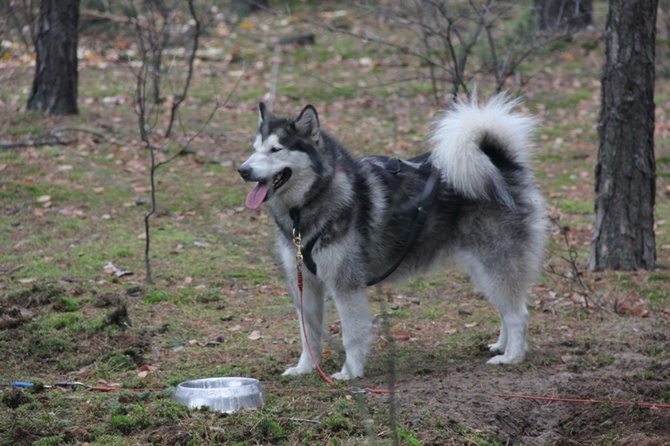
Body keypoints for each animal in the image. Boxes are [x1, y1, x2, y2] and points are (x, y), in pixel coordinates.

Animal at [239, 96, 548, 380]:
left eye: (276, 149)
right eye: (254, 150)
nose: (243, 170)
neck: (306, 208)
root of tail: (500, 163)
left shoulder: (346, 284)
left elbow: (351, 335)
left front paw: (350, 373)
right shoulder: (306, 283)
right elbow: (308, 336)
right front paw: (305, 368)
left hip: (495, 262)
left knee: (518, 314)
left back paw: (512, 357)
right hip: (482, 269)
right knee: (507, 310)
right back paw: (501, 346)